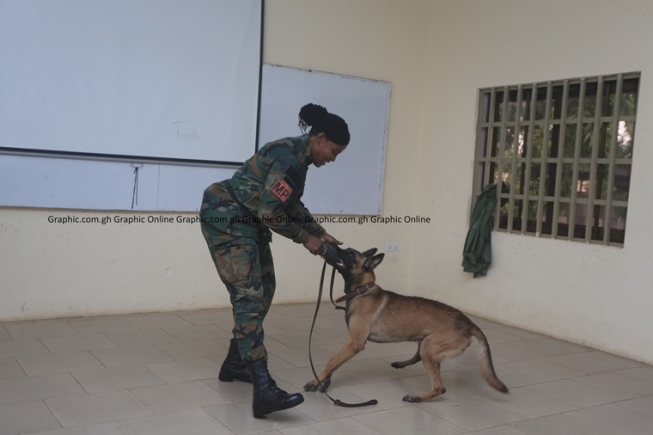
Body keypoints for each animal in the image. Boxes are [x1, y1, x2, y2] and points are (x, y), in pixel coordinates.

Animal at [302, 247, 510, 404]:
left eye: (350, 254)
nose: (331, 247)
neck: (362, 290)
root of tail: (468, 322)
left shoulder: (354, 343)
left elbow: (331, 361)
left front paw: (315, 381)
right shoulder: (350, 343)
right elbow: (336, 362)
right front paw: (324, 382)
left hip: (430, 347)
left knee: (439, 387)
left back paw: (416, 397)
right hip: (426, 343)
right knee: (419, 357)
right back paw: (401, 364)